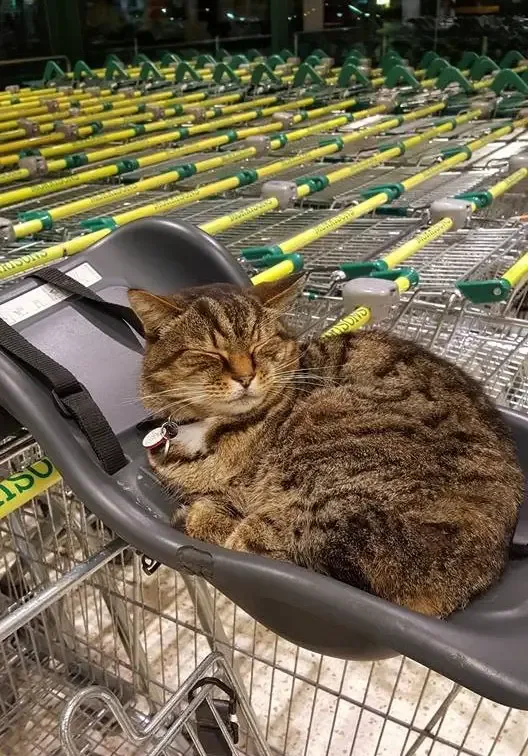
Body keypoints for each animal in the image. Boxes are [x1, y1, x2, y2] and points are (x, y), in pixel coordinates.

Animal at [129, 274, 524, 616]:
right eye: (211, 354)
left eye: (261, 346)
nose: (245, 377)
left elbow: (219, 522)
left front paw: (202, 517)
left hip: (328, 442)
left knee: (267, 542)